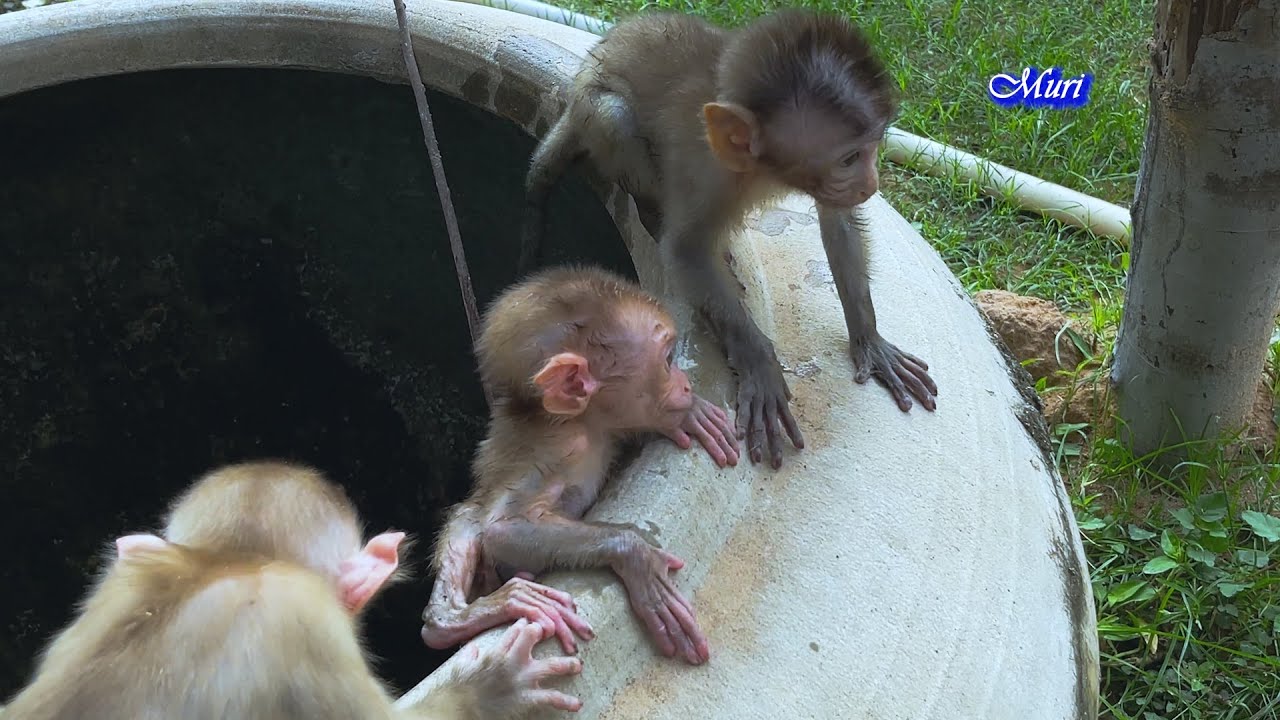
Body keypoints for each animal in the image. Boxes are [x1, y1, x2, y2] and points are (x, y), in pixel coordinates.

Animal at [421, 266, 739, 667]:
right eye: (667, 360)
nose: (684, 384)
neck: (582, 422)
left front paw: (687, 414)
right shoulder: (562, 450)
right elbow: (499, 530)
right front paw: (633, 552)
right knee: (469, 521)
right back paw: (453, 620)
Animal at [519, 9, 939, 470]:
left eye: (873, 148)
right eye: (849, 158)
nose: (870, 183)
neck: (760, 167)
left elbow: (839, 218)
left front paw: (869, 337)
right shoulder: (705, 171)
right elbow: (685, 249)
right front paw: (758, 361)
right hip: (593, 110)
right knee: (614, 115)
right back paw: (651, 208)